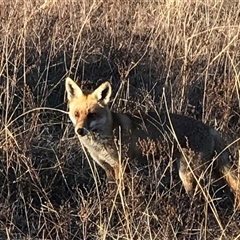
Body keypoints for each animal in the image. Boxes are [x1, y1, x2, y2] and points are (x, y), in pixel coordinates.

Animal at [65, 77, 240, 208]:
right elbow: (112, 192)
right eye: (77, 114)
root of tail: (210, 129)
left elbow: (121, 193)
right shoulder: (107, 168)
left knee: (203, 199)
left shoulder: (121, 166)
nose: (80, 130)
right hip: (206, 171)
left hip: (188, 175)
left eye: (92, 115)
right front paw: (110, 204)